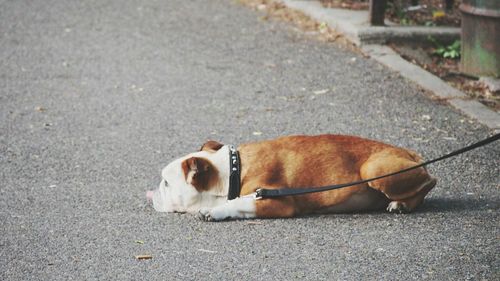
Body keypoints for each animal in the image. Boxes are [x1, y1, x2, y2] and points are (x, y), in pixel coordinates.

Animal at [146, 134, 438, 221]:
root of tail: (411, 153)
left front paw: (214, 211)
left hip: (376, 171)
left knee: (430, 182)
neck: (232, 170)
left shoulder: (275, 201)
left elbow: (237, 203)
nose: (153, 192)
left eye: (166, 183)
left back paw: (402, 204)